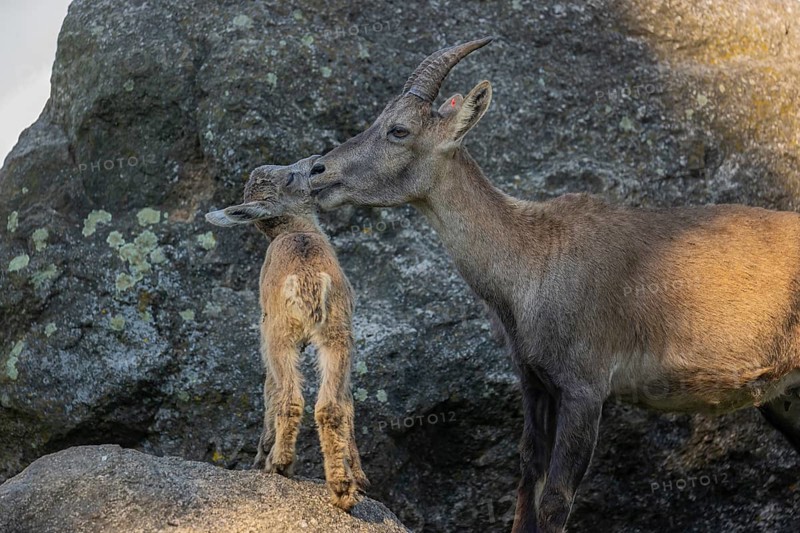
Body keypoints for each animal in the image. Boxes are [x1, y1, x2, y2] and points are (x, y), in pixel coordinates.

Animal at [206, 156, 368, 511]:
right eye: (291, 177)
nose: (317, 163)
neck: (298, 232)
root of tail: (308, 281)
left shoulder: (265, 335)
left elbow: (270, 390)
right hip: (336, 336)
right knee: (331, 405)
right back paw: (343, 488)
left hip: (281, 338)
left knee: (291, 397)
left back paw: (279, 463)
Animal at [305, 38, 800, 532]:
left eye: (399, 130)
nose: (317, 171)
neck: (533, 259)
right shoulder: (534, 380)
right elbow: (527, 479)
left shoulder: (585, 386)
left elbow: (557, 497)